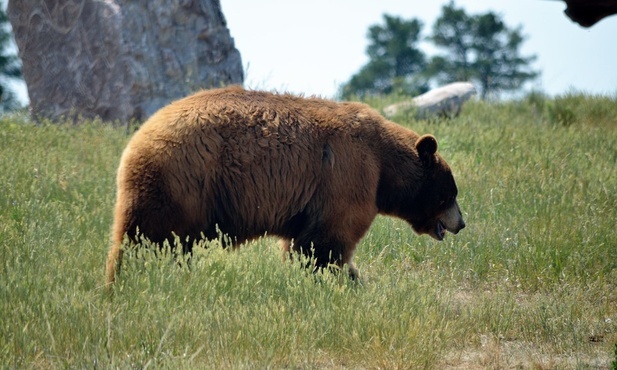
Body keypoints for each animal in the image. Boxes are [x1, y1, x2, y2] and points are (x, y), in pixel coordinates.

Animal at [104, 85, 462, 284]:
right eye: (450, 193)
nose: (461, 223)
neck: (384, 166)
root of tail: (137, 138)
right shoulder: (348, 174)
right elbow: (327, 241)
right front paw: (341, 279)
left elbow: (304, 241)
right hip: (183, 181)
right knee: (151, 237)